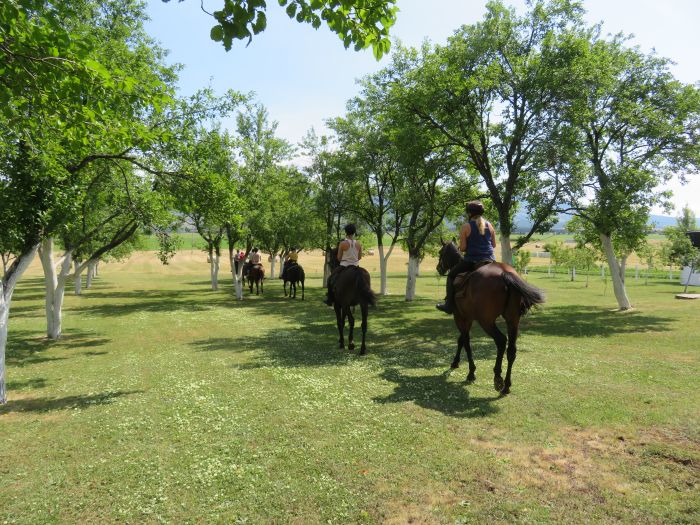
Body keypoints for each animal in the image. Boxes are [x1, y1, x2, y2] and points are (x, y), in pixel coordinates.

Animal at [438, 242, 548, 392]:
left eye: (440, 253)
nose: (438, 268)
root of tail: (504, 273)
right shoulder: (468, 318)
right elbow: (461, 340)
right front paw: (455, 362)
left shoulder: (459, 317)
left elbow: (466, 342)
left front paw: (471, 372)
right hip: (513, 320)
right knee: (511, 350)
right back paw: (506, 385)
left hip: (487, 321)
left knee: (501, 341)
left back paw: (498, 378)